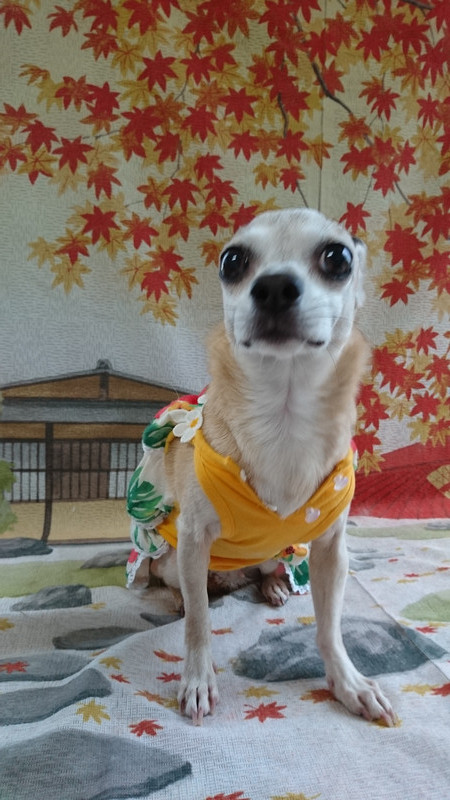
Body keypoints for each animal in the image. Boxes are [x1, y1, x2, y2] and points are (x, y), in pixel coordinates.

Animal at [127, 208, 396, 727]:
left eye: (338, 257)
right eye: (232, 262)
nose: (273, 286)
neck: (284, 416)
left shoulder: (330, 551)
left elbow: (330, 628)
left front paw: (348, 683)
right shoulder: (193, 540)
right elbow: (199, 624)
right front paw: (197, 679)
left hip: (283, 550)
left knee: (268, 571)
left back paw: (272, 587)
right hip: (171, 558)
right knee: (185, 589)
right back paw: (180, 597)